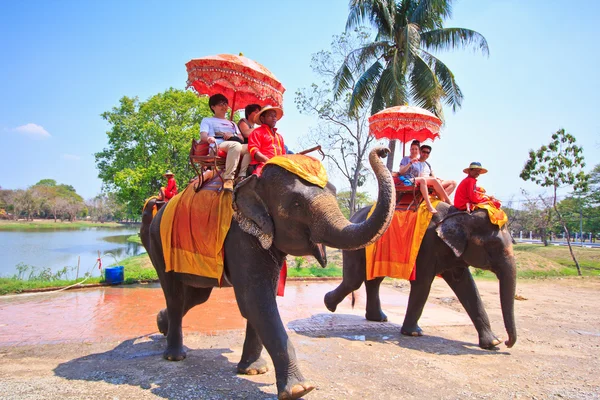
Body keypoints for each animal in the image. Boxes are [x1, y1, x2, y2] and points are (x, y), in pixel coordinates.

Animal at [138, 148, 396, 400]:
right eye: (296, 204)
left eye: (333, 192)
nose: (383, 150)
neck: (255, 180)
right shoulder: (240, 235)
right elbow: (256, 300)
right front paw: (299, 389)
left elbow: (261, 299)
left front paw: (253, 370)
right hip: (157, 242)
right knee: (175, 294)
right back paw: (174, 356)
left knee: (197, 295)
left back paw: (161, 324)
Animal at [324, 202, 516, 348]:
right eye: (493, 245)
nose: (508, 343)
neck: (459, 214)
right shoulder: (427, 245)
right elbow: (423, 284)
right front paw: (414, 333)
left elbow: (467, 287)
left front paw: (493, 343)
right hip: (356, 246)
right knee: (354, 279)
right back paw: (329, 304)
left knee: (373, 280)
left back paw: (377, 318)